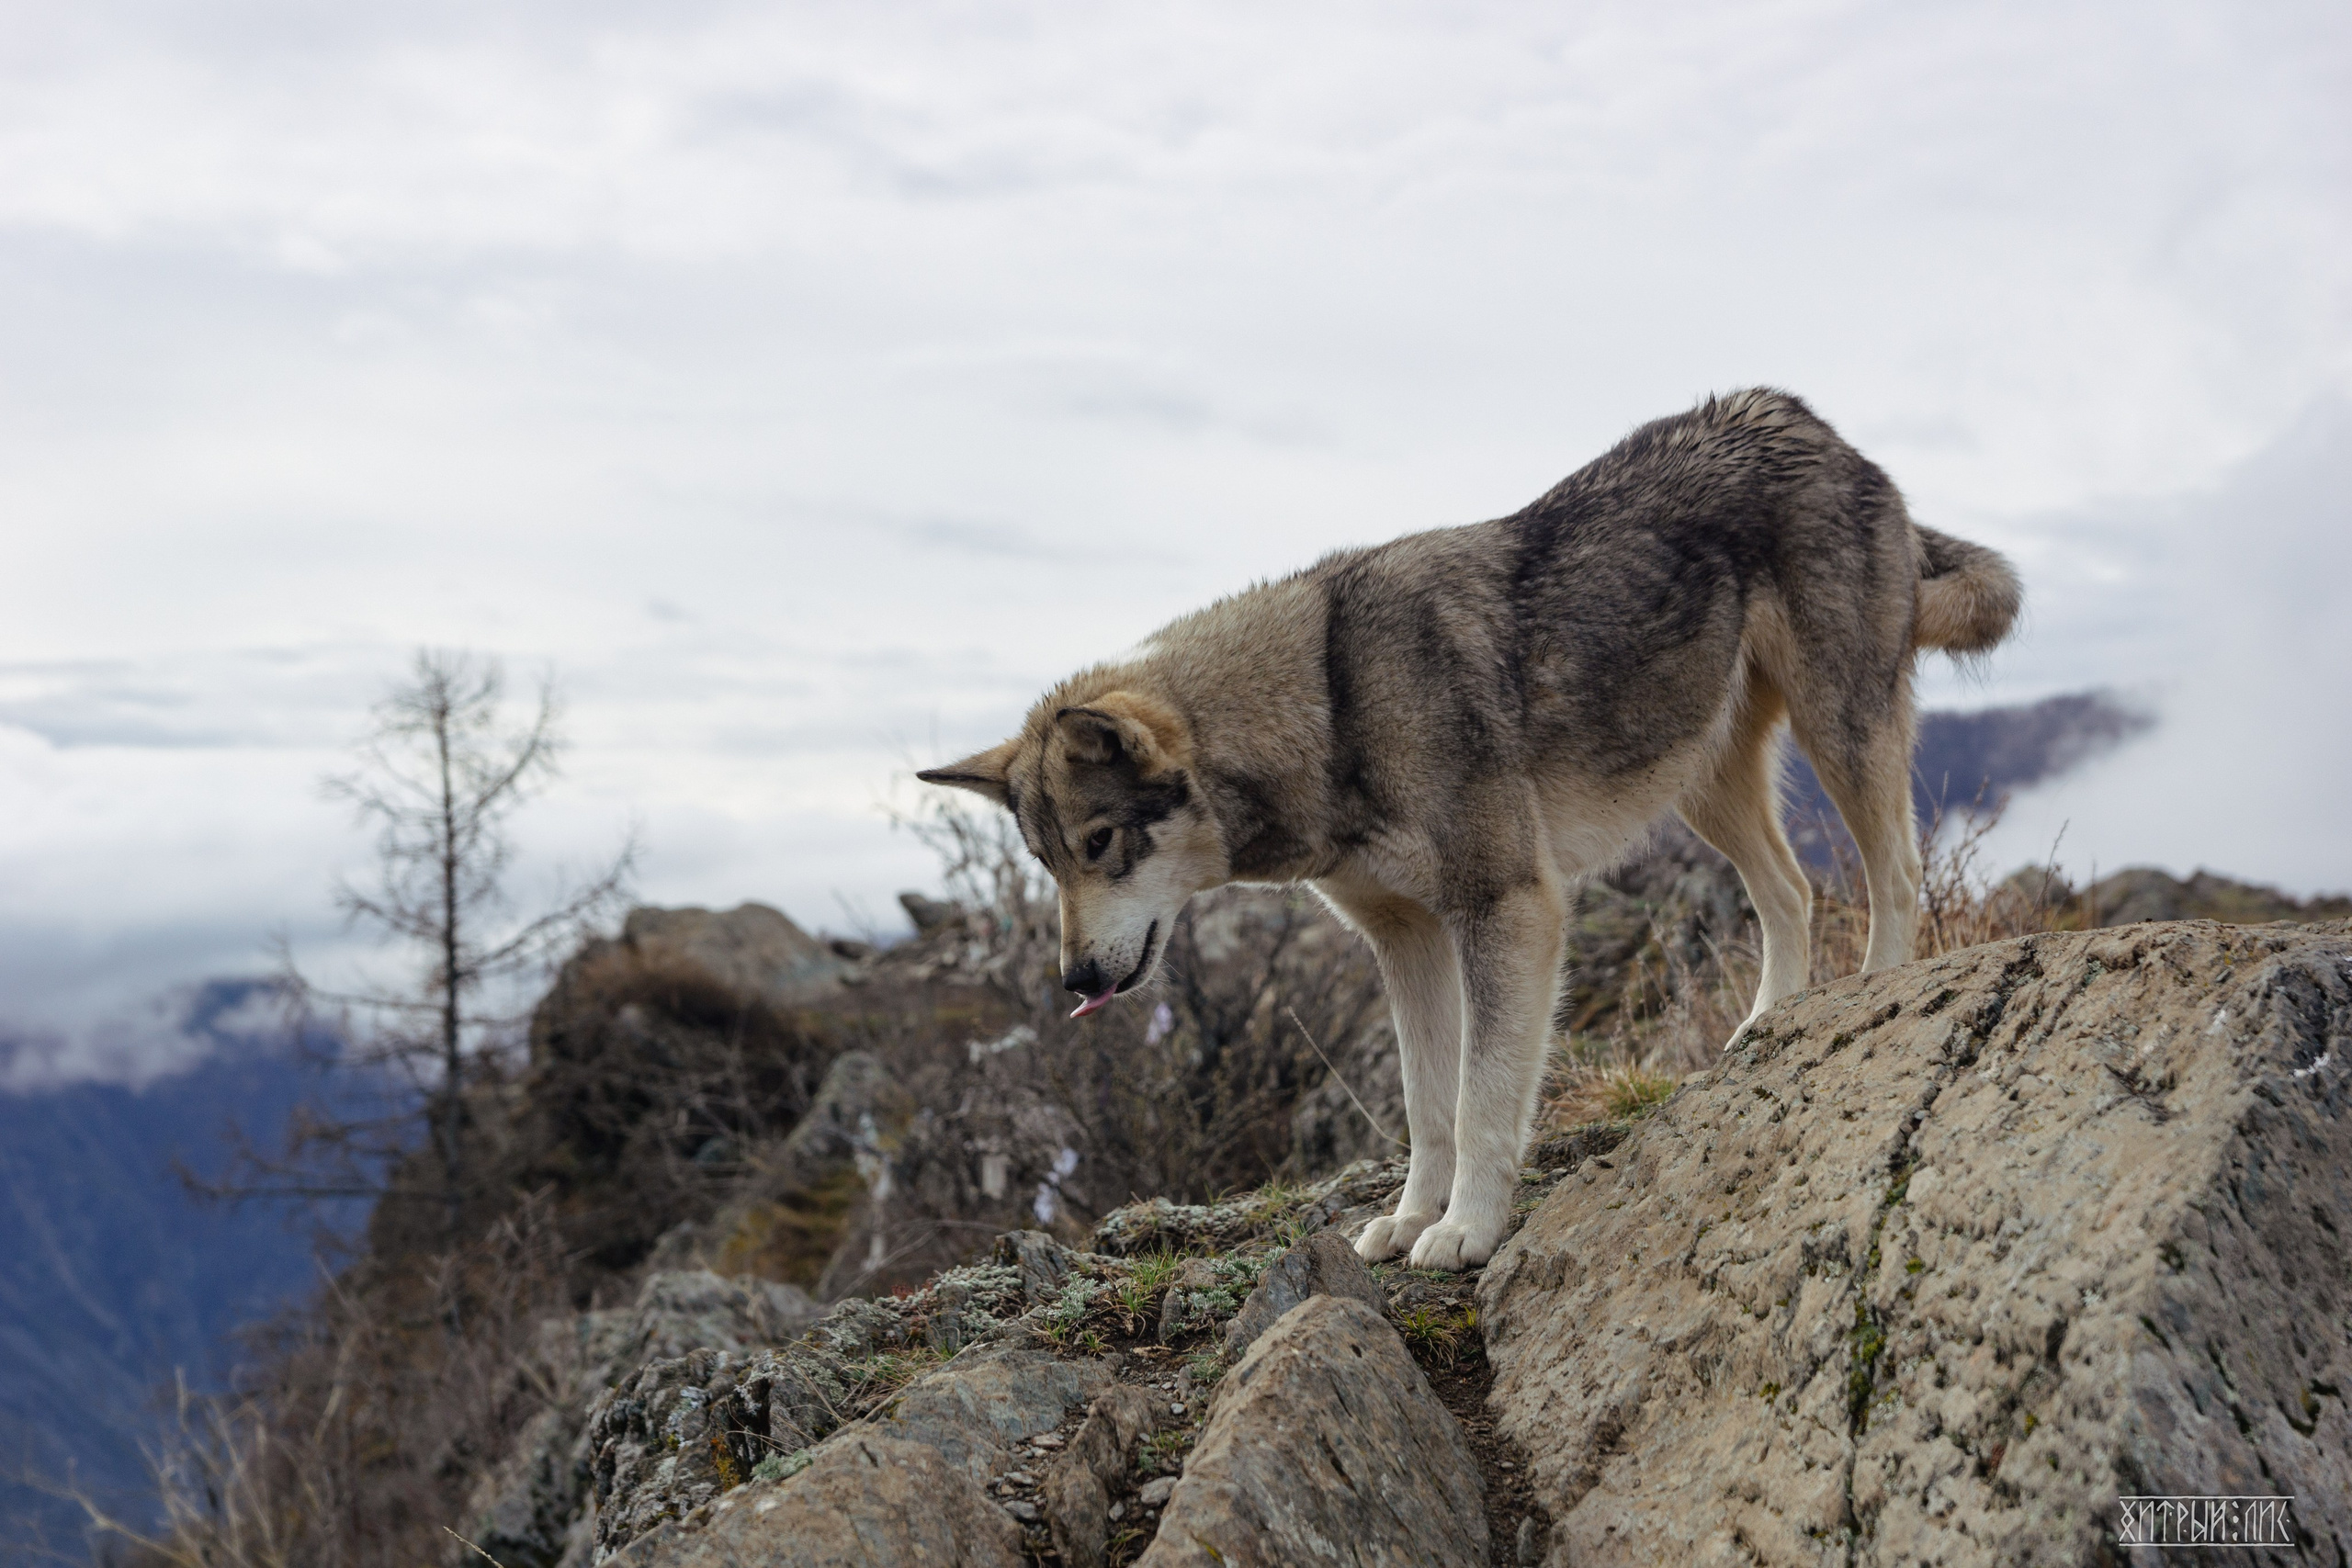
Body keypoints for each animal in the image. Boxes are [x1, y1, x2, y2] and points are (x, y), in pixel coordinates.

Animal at [917, 389, 2020, 1271]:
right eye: (1044, 862)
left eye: (1099, 845)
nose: (1074, 982)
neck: (1331, 701)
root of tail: (1809, 422)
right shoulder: (1406, 942)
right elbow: (1428, 1106)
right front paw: (1412, 1220)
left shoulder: (1507, 910)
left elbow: (1486, 1097)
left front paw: (1468, 1233)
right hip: (1700, 780)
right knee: (1790, 891)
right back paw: (1766, 1026)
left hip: (1840, 730)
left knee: (1894, 873)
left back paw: (1871, 993)